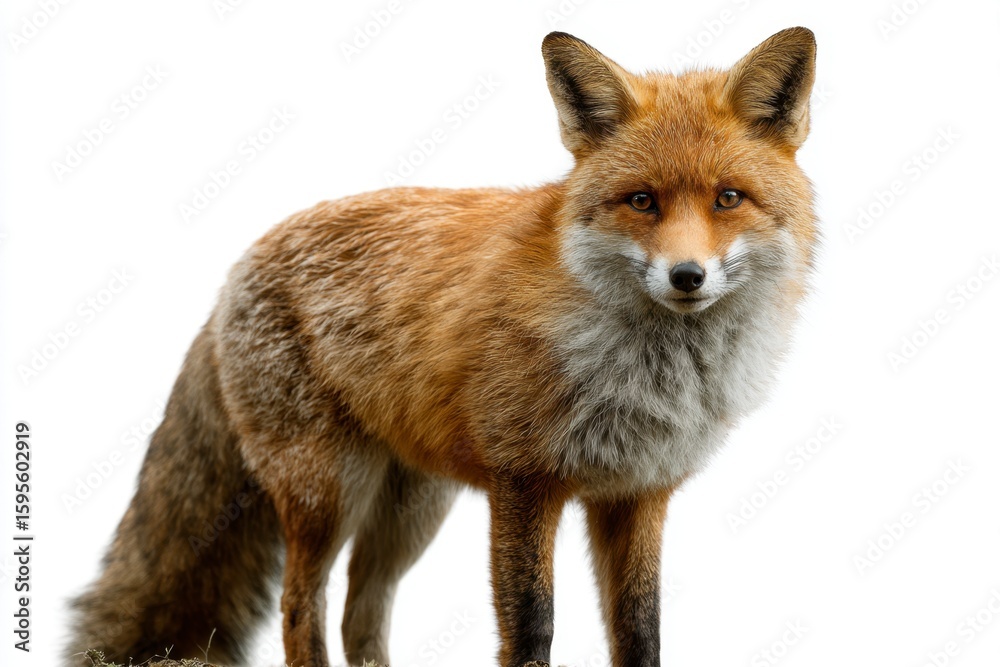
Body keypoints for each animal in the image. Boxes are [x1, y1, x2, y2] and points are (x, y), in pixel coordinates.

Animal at [68, 27, 818, 667]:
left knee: (361, 613)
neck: (650, 372)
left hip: (411, 510)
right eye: (642, 200)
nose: (687, 276)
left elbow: (641, 632)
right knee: (300, 607)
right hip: (327, 493)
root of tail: (236, 266)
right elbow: (533, 626)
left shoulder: (638, 492)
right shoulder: (524, 483)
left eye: (728, 198)